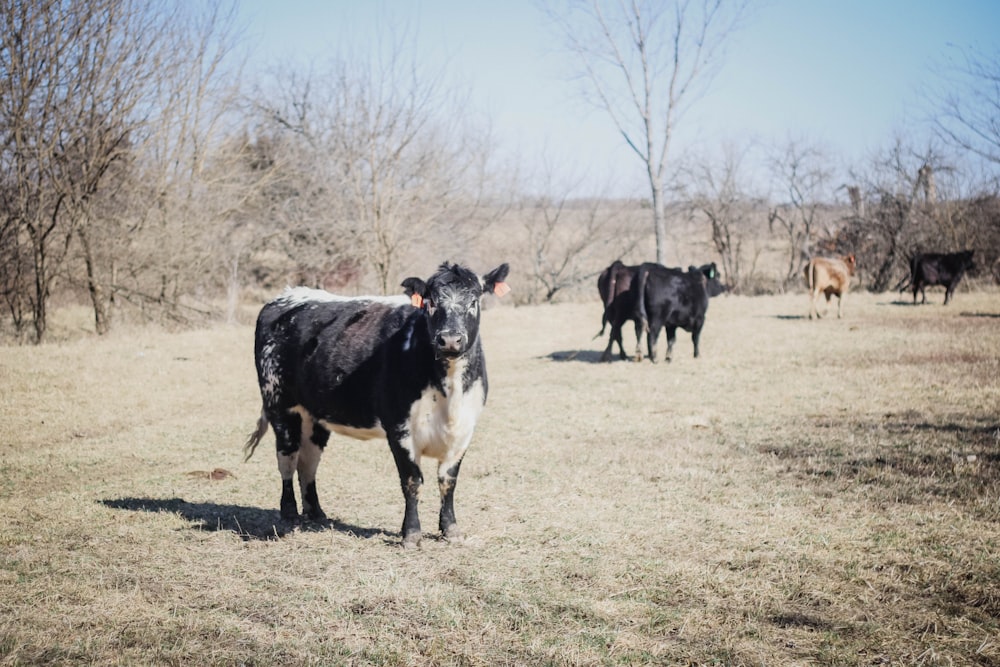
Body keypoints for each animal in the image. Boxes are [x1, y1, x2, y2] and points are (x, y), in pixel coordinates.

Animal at [242, 260, 508, 548]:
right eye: (431, 302)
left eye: (473, 301)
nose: (449, 339)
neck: (450, 394)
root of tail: (286, 296)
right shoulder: (400, 428)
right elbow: (412, 481)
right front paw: (411, 534)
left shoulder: (464, 430)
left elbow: (448, 481)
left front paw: (451, 530)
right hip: (280, 404)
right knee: (287, 459)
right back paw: (289, 513)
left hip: (314, 415)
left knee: (308, 462)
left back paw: (316, 514)